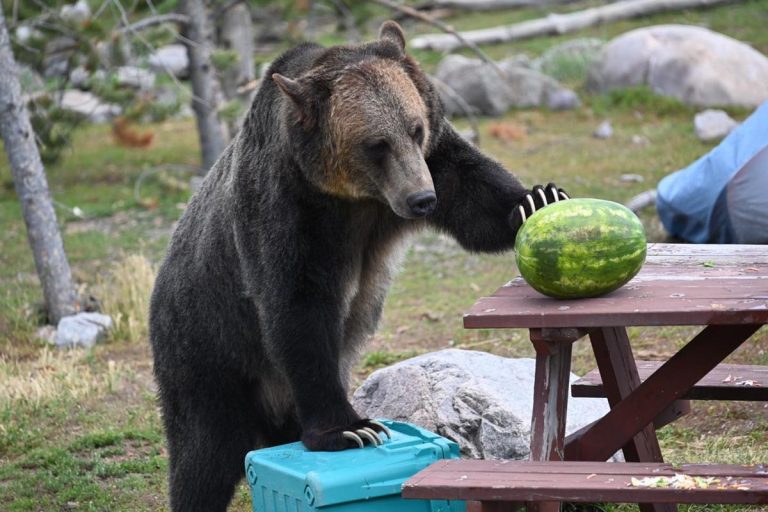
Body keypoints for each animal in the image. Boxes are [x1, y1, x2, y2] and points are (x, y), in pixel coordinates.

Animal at [150, 21, 568, 512]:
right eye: (376, 144)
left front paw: (537, 199)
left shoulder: (434, 161)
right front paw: (352, 429)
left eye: (414, 128)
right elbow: (298, 306)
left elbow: (473, 194)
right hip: (207, 351)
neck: (354, 198)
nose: (421, 200)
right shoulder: (288, 209)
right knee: (203, 455)